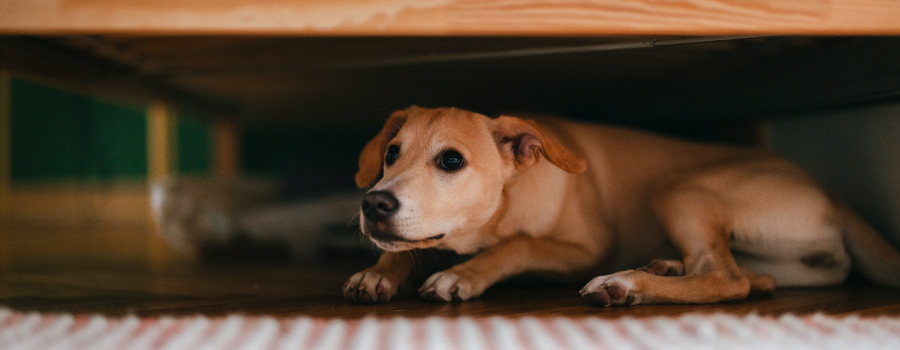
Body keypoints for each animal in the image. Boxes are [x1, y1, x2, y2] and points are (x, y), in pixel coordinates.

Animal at [342, 106, 896, 306]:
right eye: (392, 154)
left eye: (452, 160)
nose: (374, 203)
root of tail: (833, 198)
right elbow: (408, 247)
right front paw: (379, 273)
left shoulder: (584, 250)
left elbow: (518, 246)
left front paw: (464, 275)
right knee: (752, 277)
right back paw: (663, 266)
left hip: (678, 188)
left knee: (727, 279)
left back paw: (627, 283)